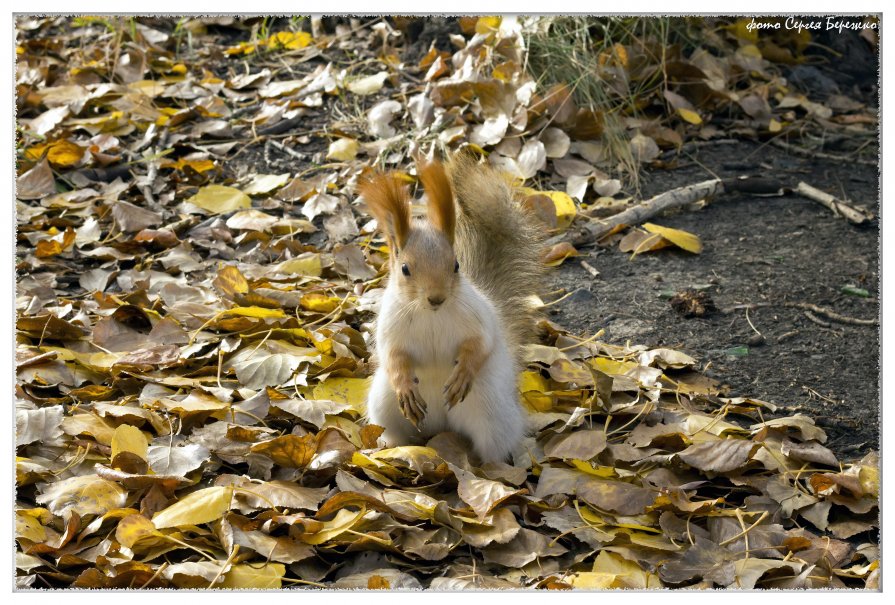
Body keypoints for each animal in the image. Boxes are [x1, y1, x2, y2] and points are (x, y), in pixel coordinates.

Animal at [358, 156, 544, 462]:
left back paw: (488, 467)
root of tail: (441, 424)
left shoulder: (477, 319)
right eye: (405, 269)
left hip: (491, 412)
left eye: (456, 265)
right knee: (397, 431)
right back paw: (390, 449)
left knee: (493, 446)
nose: (437, 298)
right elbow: (392, 356)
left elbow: (481, 344)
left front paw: (462, 374)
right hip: (384, 404)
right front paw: (404, 385)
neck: (430, 315)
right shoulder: (390, 327)